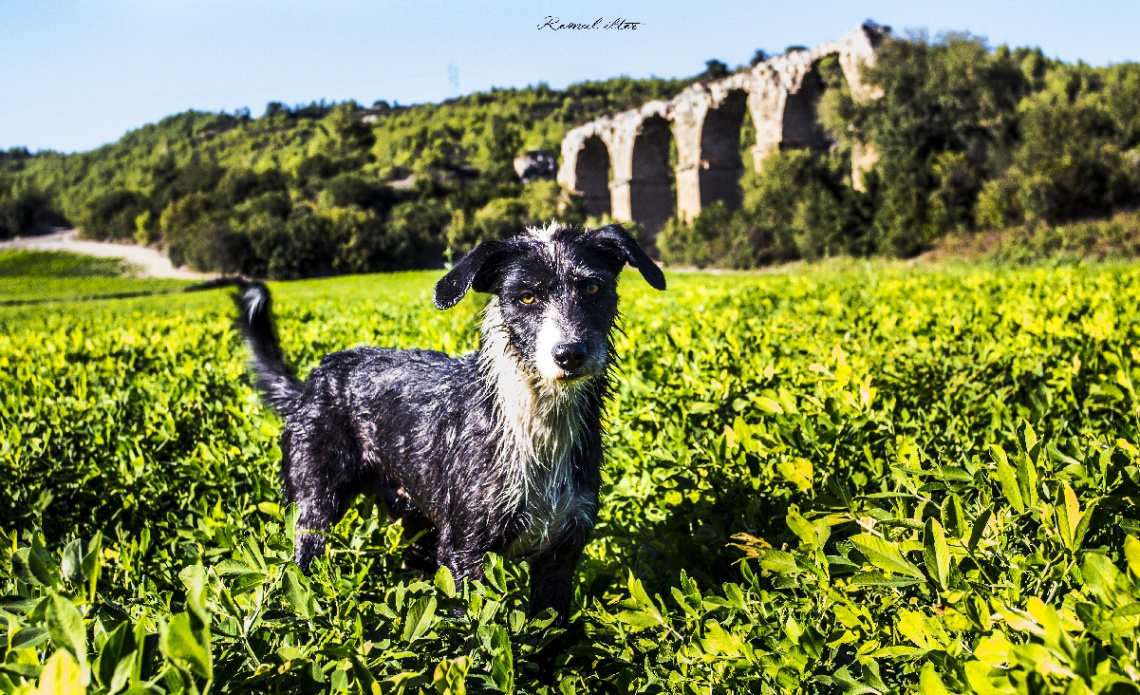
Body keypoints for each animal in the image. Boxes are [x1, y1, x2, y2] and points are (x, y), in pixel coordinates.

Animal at [234, 222, 665, 615]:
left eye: (592, 288)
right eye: (526, 296)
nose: (570, 353)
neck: (533, 423)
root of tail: (311, 381)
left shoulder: (560, 554)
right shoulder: (464, 553)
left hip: (418, 522)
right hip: (314, 506)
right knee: (301, 561)